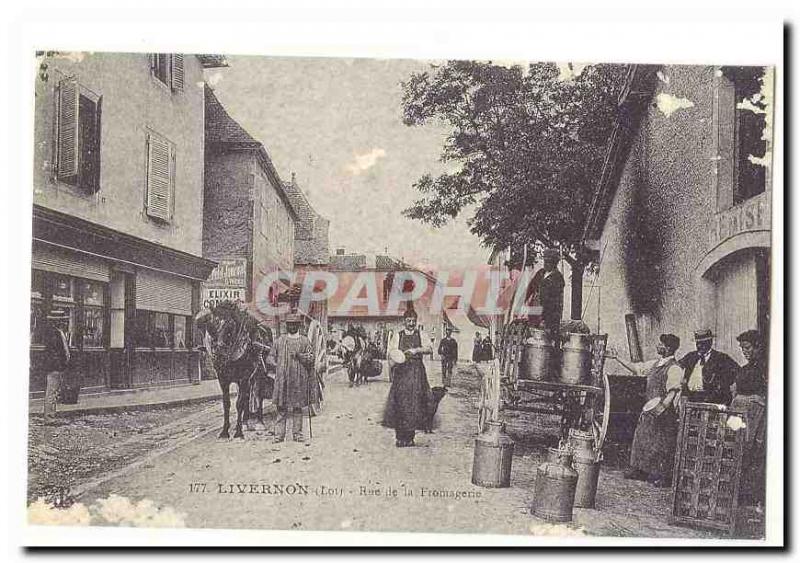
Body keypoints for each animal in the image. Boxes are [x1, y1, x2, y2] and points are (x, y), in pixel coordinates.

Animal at [196, 302, 272, 438]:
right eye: (212, 326)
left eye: (230, 327)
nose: (219, 353)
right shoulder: (223, 378)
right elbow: (227, 404)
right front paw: (225, 431)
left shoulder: (244, 377)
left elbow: (239, 403)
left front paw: (238, 432)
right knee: (247, 396)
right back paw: (246, 422)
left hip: (259, 373)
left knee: (259, 395)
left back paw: (260, 422)